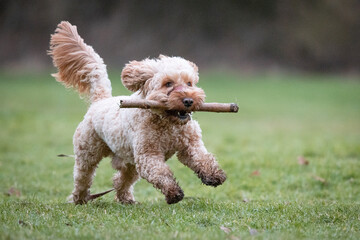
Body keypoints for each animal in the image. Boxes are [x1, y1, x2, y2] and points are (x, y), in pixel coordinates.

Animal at [49, 21, 226, 204]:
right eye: (168, 83)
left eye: (189, 83)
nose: (189, 101)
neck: (168, 123)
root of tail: (100, 100)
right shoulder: (148, 154)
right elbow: (160, 172)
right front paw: (173, 192)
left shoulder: (190, 145)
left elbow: (202, 157)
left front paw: (213, 175)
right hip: (88, 152)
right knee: (83, 177)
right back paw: (80, 198)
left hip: (129, 160)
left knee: (121, 179)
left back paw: (125, 198)